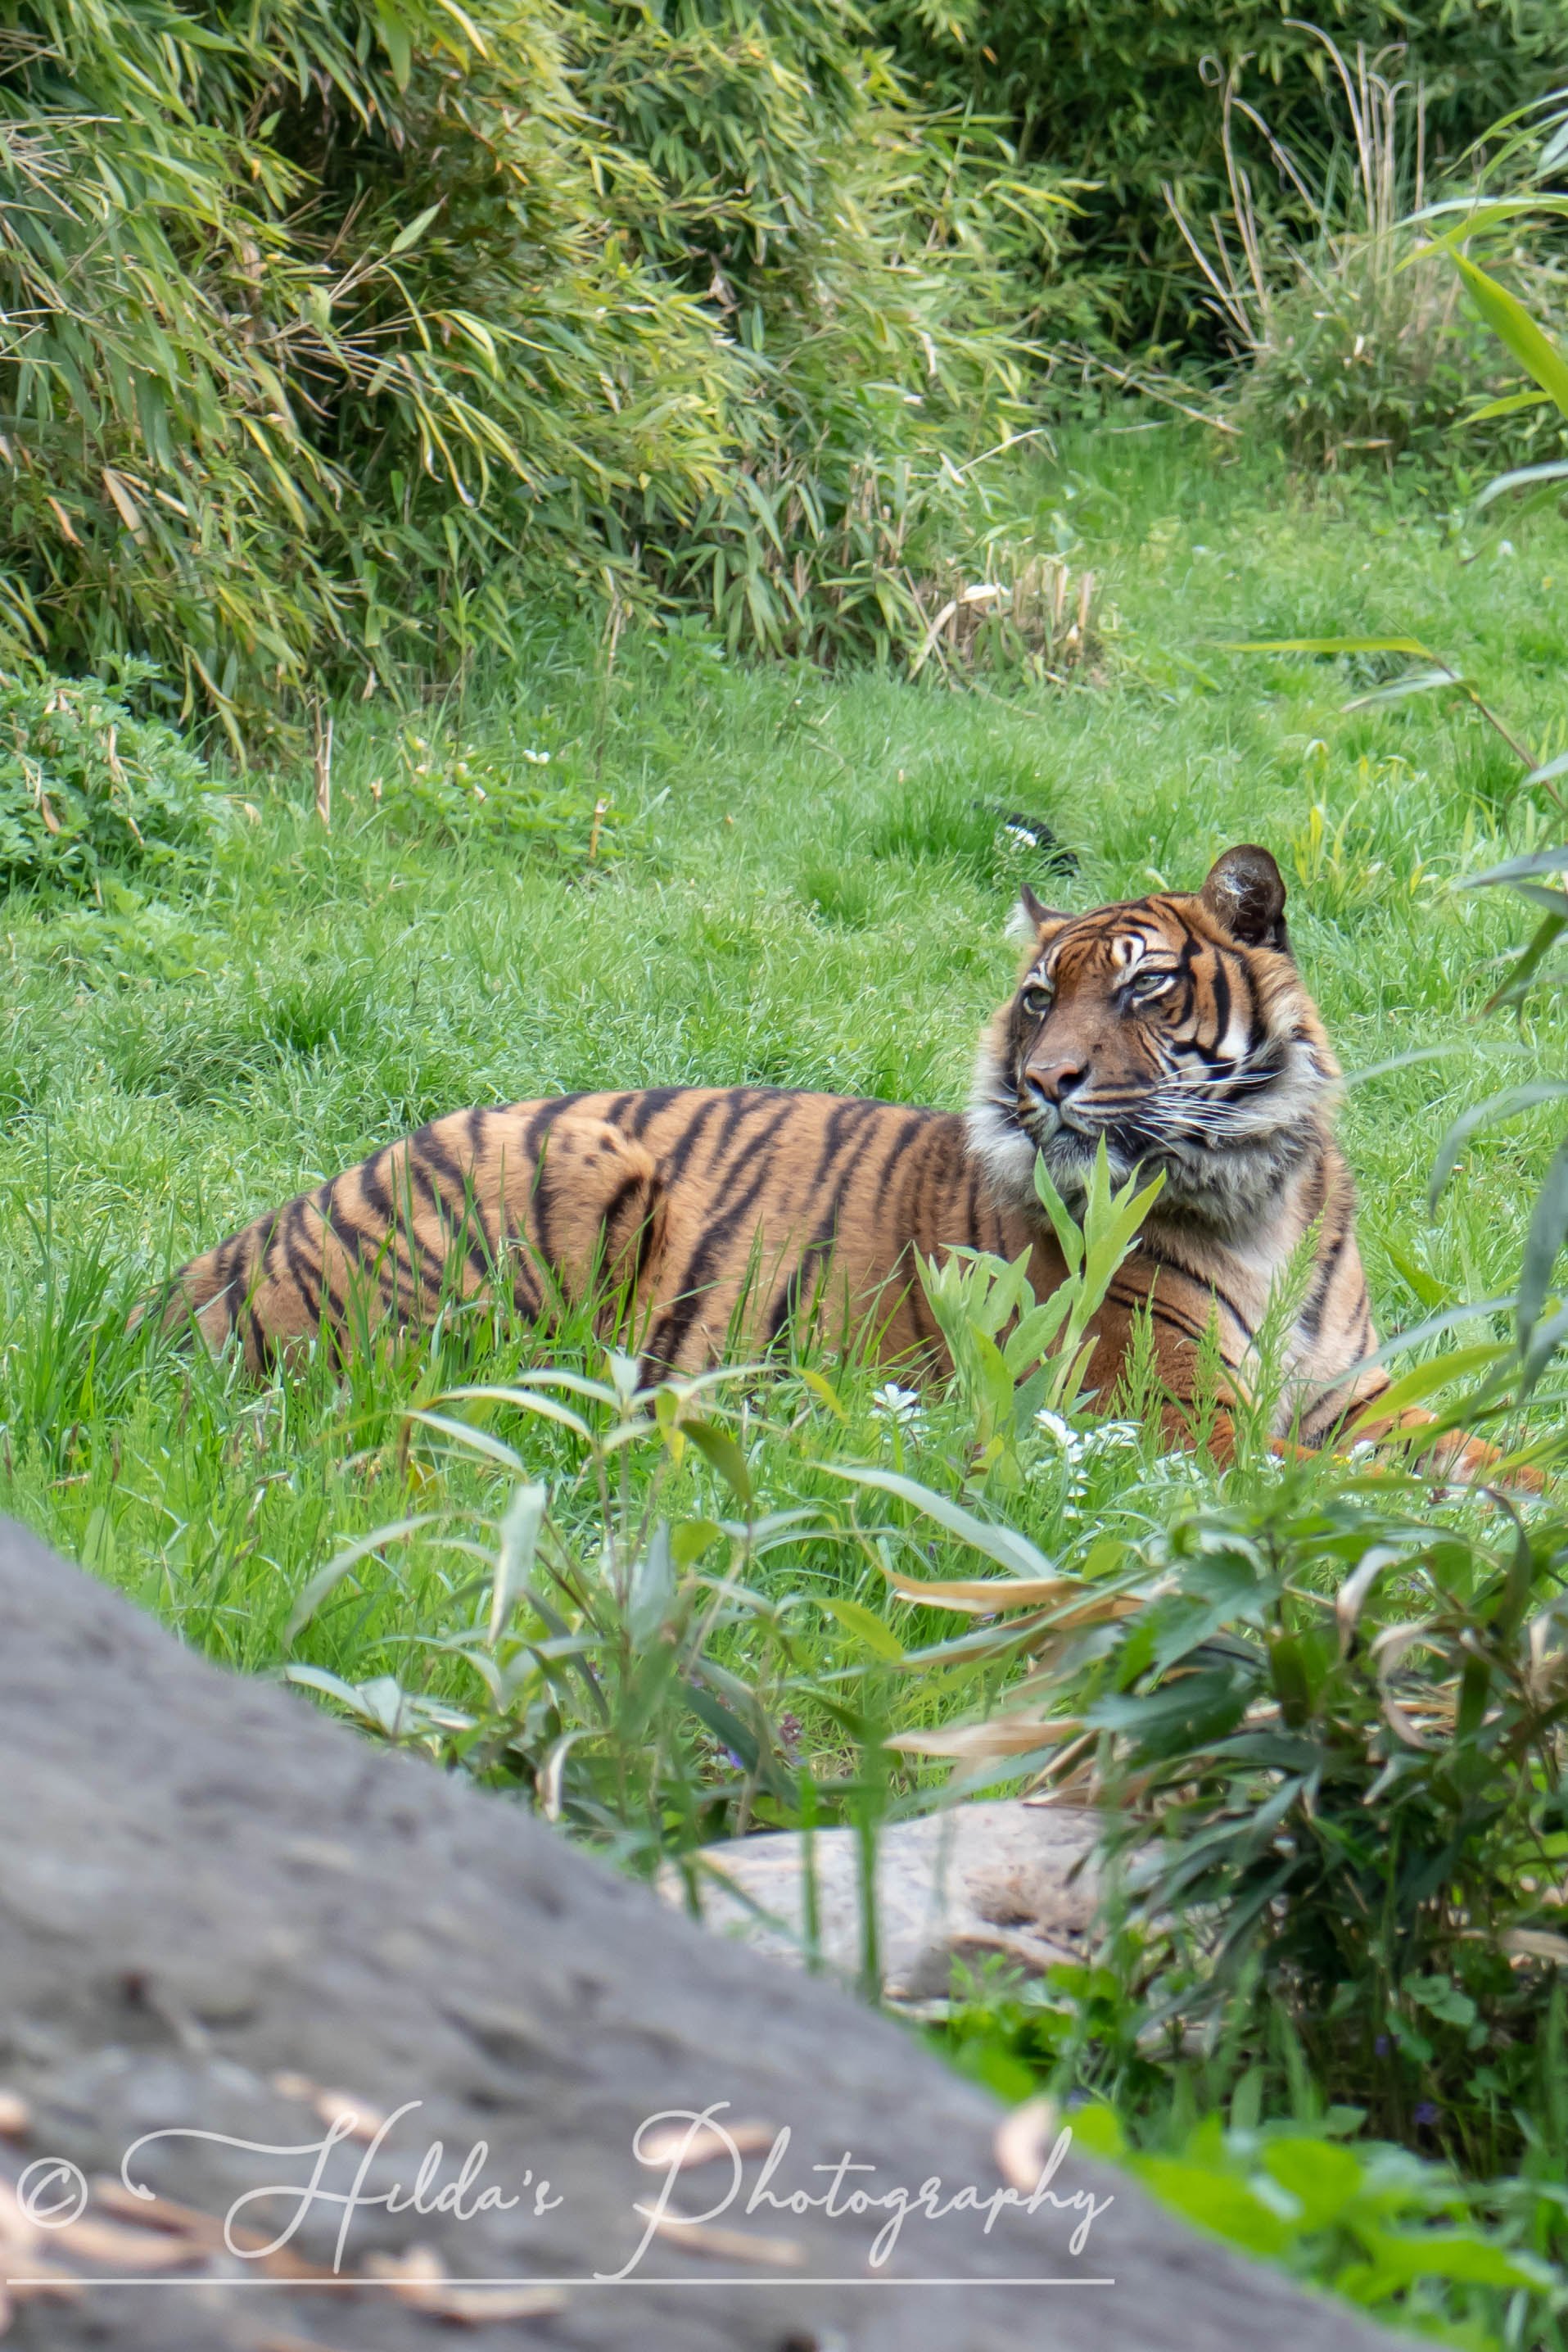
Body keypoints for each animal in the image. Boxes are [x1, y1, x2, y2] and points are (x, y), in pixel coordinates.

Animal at [159, 843, 1506, 1474]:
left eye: (1143, 987)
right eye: (1038, 998)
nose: (1045, 1082)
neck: (1255, 1195)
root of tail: (206, 1266)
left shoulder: (1349, 1394)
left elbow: (1481, 1449)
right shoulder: (1172, 1423)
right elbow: (1347, 1486)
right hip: (571, 1166)